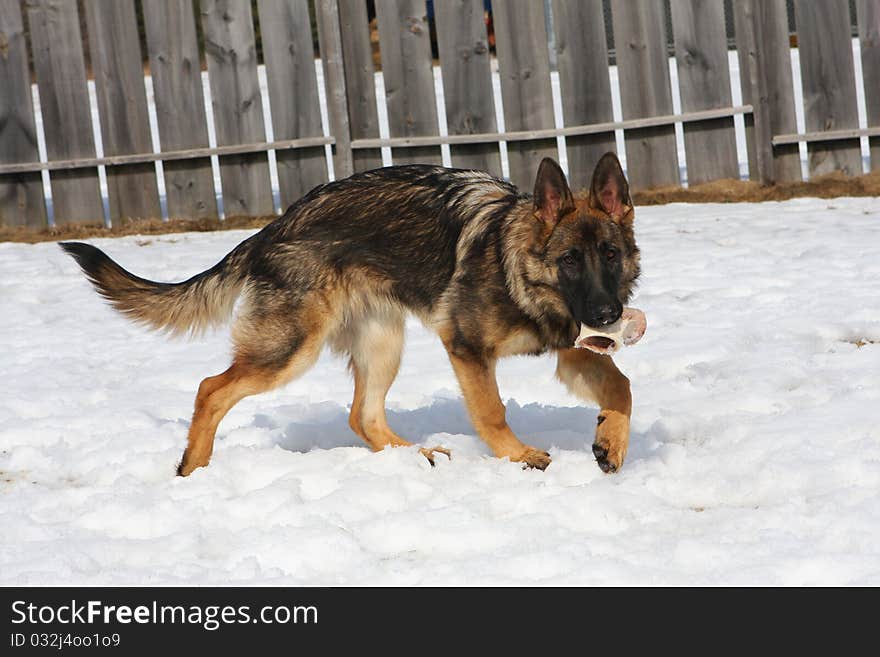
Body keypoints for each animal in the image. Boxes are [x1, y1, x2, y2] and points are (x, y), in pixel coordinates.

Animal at [62, 151, 640, 474]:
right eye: (570, 260)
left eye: (610, 255)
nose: (608, 314)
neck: (515, 259)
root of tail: (272, 227)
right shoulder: (467, 347)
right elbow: (492, 411)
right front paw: (519, 457)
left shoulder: (572, 350)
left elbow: (622, 385)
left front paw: (609, 444)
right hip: (292, 350)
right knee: (211, 388)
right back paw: (194, 472)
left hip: (383, 343)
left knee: (362, 415)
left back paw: (416, 455)